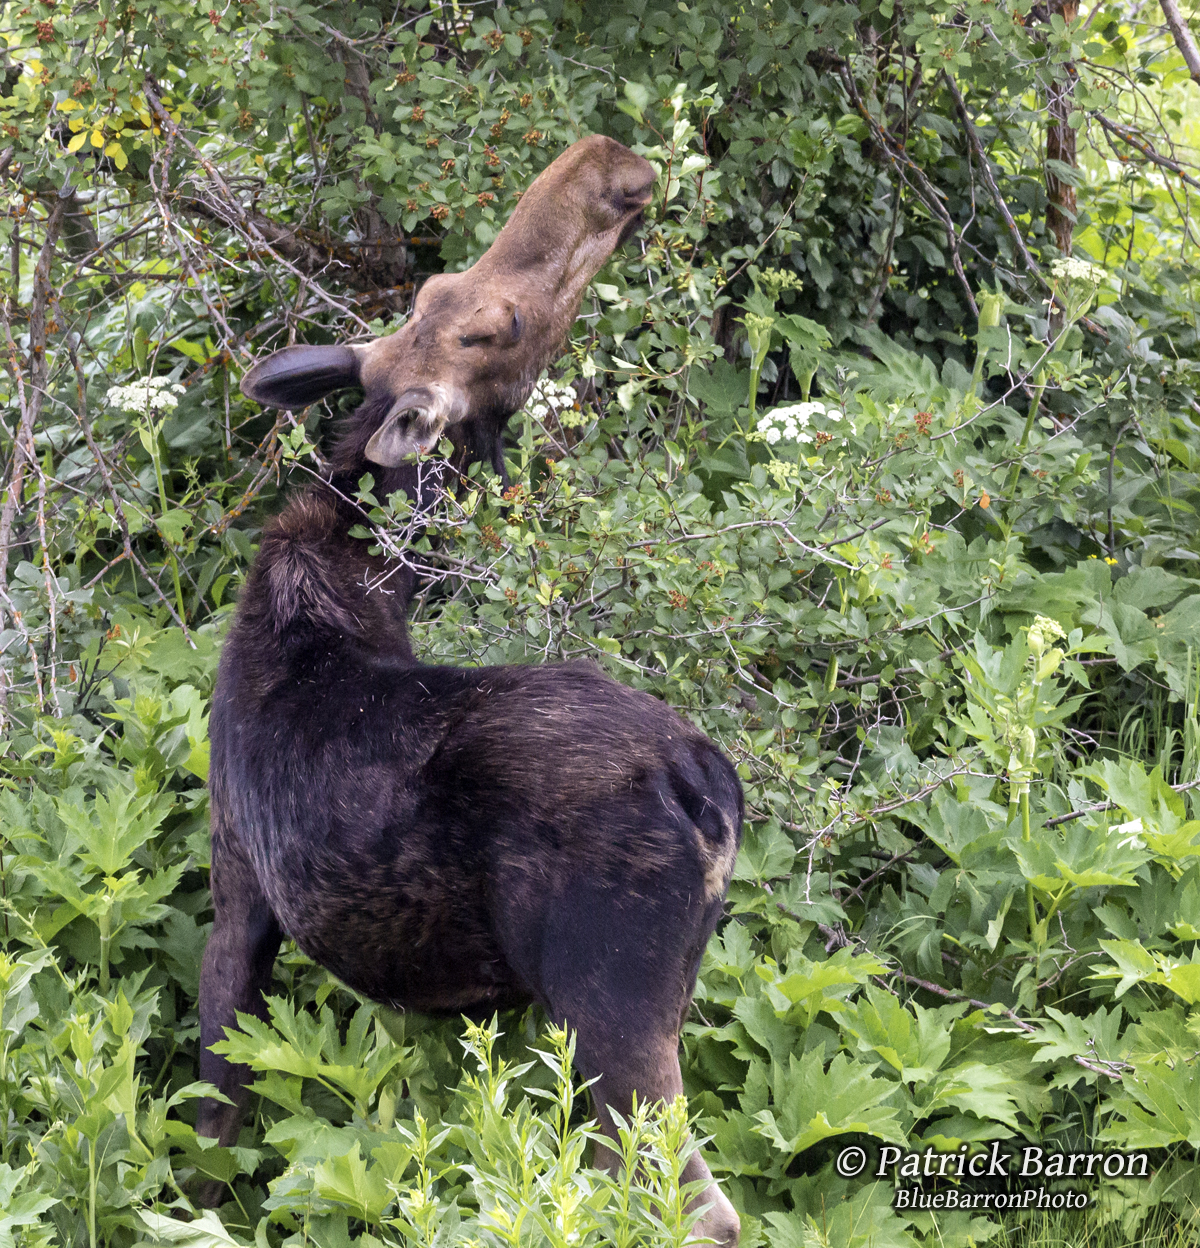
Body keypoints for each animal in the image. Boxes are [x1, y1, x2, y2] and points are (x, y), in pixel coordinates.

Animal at [198, 136, 742, 1246]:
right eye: (492, 320)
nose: (608, 162)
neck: (355, 584)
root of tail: (707, 792)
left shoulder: (238, 875)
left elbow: (212, 1124)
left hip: (606, 999)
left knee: (690, 1206)